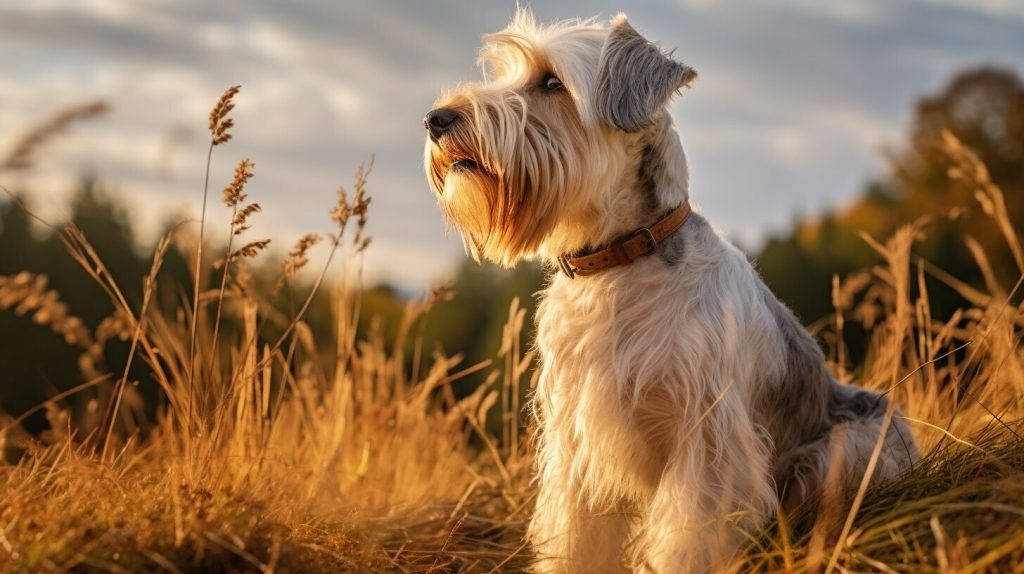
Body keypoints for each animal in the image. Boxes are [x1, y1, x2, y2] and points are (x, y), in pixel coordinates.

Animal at [419, 11, 917, 568]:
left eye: (551, 83)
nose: (436, 118)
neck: (618, 262)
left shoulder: (706, 446)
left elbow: (686, 542)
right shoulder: (576, 448)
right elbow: (576, 541)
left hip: (846, 450)